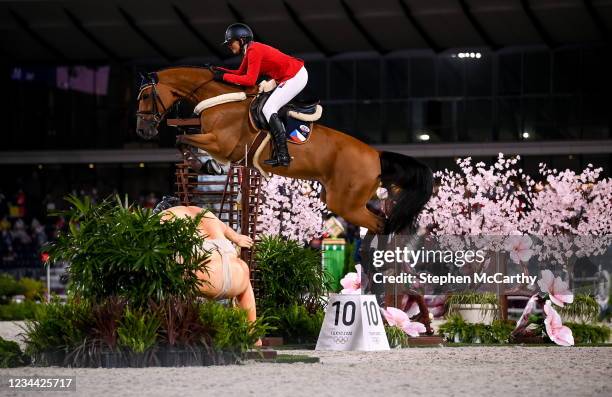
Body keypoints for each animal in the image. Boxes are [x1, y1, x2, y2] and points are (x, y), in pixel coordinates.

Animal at [136, 67, 432, 235]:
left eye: (146, 96)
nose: (143, 132)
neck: (218, 98)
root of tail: (377, 156)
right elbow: (184, 141)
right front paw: (208, 166)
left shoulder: (221, 142)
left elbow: (183, 140)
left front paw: (207, 165)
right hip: (339, 199)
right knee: (383, 223)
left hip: (346, 204)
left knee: (381, 225)